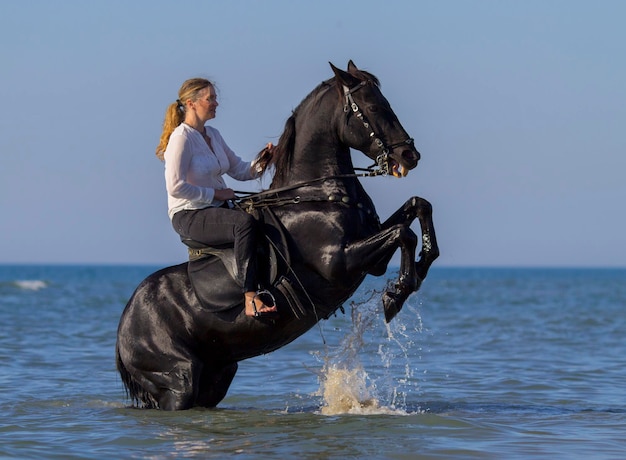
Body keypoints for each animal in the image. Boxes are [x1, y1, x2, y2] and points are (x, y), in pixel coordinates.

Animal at [117, 61, 438, 410]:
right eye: (375, 108)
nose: (410, 156)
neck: (314, 195)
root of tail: (124, 326)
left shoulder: (371, 258)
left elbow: (419, 207)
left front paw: (421, 264)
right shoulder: (339, 260)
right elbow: (402, 233)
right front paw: (397, 294)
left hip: (216, 375)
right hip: (179, 381)